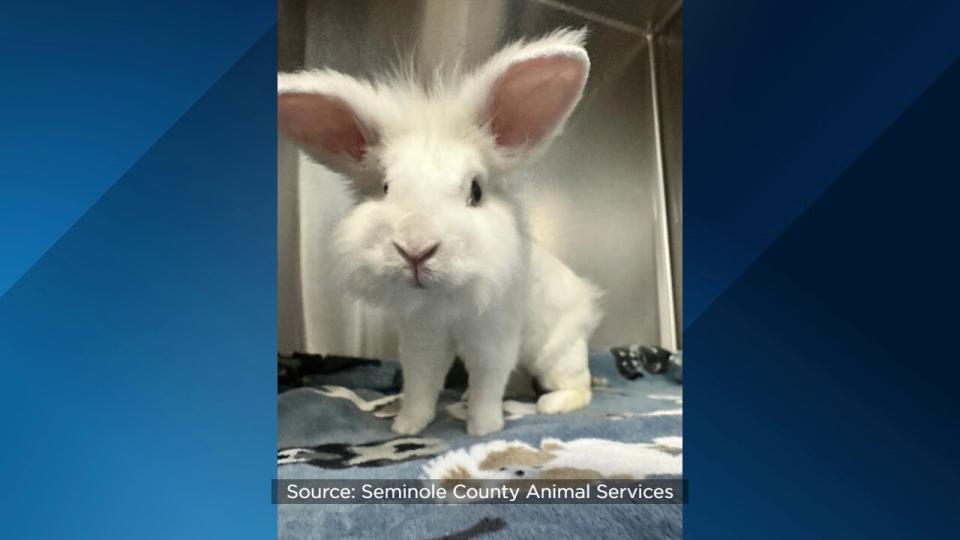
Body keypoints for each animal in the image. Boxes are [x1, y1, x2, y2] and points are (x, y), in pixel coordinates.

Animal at [278, 27, 604, 436]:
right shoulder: (422, 338)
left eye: (475, 190)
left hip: (556, 352)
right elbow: (421, 382)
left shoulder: (492, 337)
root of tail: (586, 302)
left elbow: (487, 383)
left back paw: (551, 405)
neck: (442, 302)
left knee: (578, 384)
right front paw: (406, 427)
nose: (415, 248)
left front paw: (483, 428)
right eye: (385, 186)